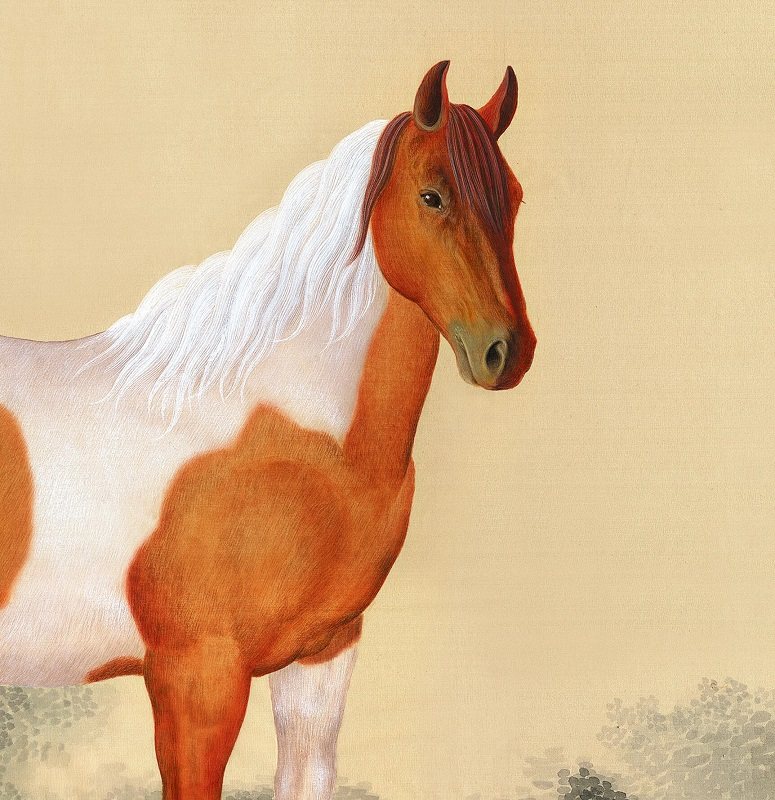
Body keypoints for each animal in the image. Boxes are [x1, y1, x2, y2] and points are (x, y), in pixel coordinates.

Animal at [0, 61, 535, 800]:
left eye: (513, 197)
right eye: (432, 196)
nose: (505, 353)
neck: (289, 429)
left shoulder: (322, 659)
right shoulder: (197, 679)